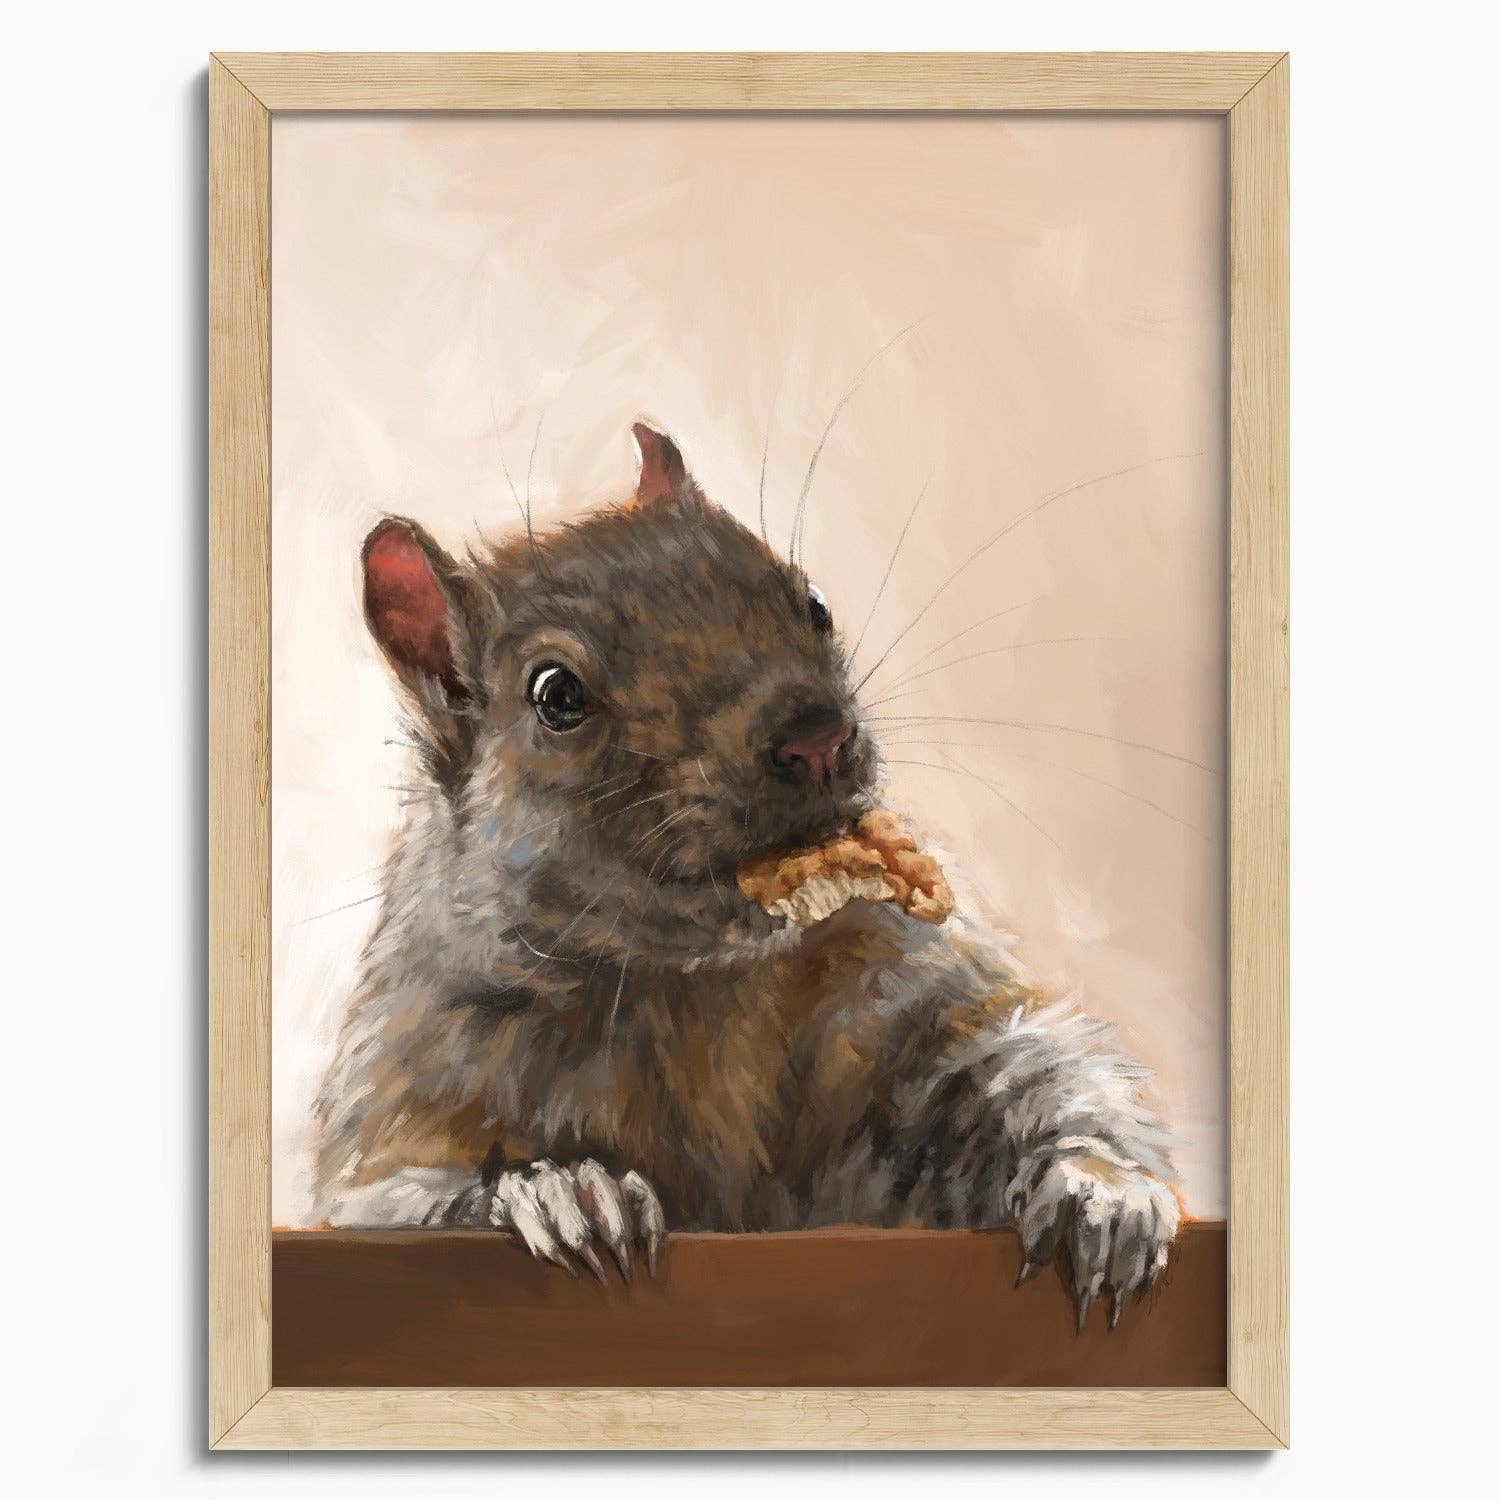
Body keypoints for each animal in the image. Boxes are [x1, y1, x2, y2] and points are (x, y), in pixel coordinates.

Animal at [315, 422, 1180, 1330]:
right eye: (555, 694)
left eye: (815, 603)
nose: (817, 735)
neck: (699, 983)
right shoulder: (406, 1094)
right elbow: (394, 1198)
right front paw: (561, 1191)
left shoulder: (901, 989)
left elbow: (1022, 1061)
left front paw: (1101, 1190)